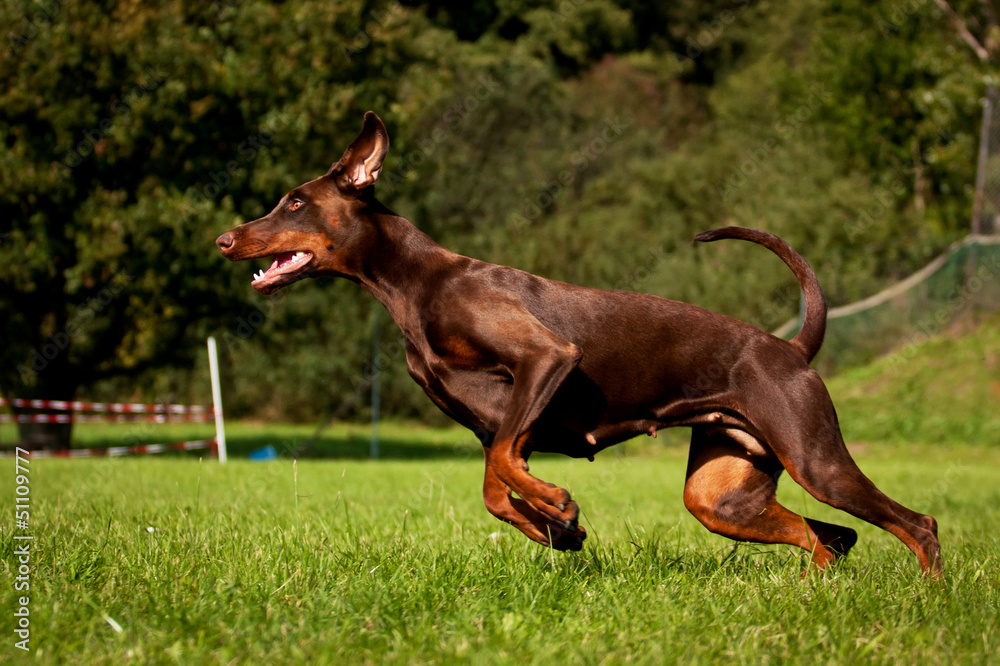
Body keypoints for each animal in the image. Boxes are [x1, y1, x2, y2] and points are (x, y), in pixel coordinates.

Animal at [215, 111, 940, 572]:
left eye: (295, 203)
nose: (225, 238)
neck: (417, 282)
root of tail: (791, 348)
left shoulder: (547, 361)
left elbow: (508, 468)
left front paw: (559, 509)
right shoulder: (493, 422)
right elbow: (495, 488)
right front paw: (558, 527)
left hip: (816, 459)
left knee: (915, 525)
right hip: (725, 494)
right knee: (830, 537)